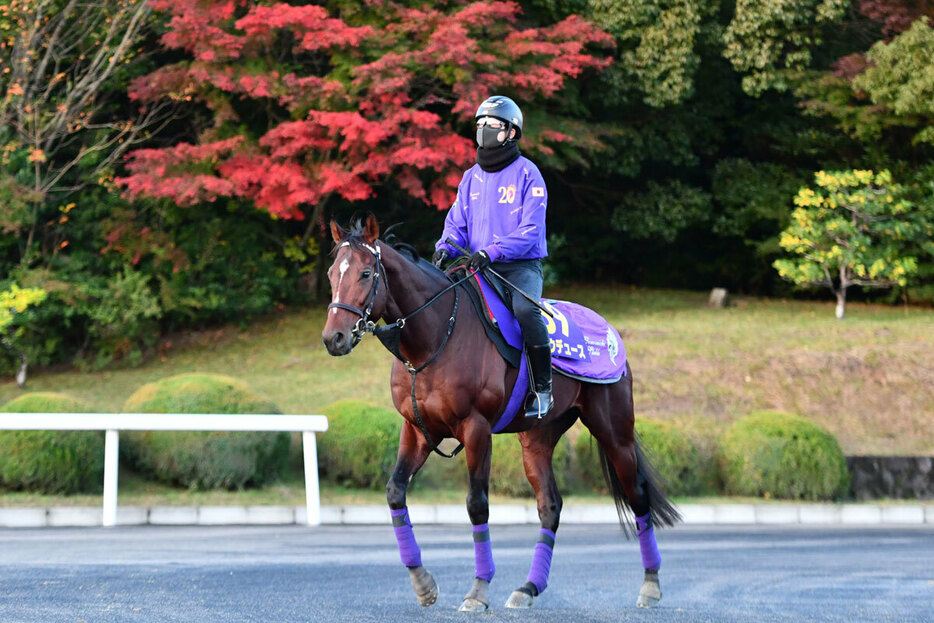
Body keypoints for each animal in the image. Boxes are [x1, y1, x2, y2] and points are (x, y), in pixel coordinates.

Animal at [322, 216, 680, 616]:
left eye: (366, 273)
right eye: (332, 274)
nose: (334, 337)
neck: (437, 335)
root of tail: (610, 334)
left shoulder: (476, 429)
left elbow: (477, 505)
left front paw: (478, 590)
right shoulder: (416, 430)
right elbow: (395, 492)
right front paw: (422, 582)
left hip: (614, 432)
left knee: (638, 496)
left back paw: (650, 585)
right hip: (537, 440)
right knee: (550, 506)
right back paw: (528, 587)